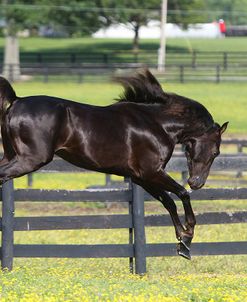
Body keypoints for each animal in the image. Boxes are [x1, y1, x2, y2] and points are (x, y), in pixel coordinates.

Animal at [0, 69, 228, 258]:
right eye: (216, 152)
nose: (196, 182)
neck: (158, 124)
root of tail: (16, 101)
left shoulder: (141, 177)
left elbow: (168, 202)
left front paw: (183, 244)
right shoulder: (152, 172)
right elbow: (181, 194)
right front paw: (189, 233)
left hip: (12, 156)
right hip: (30, 160)